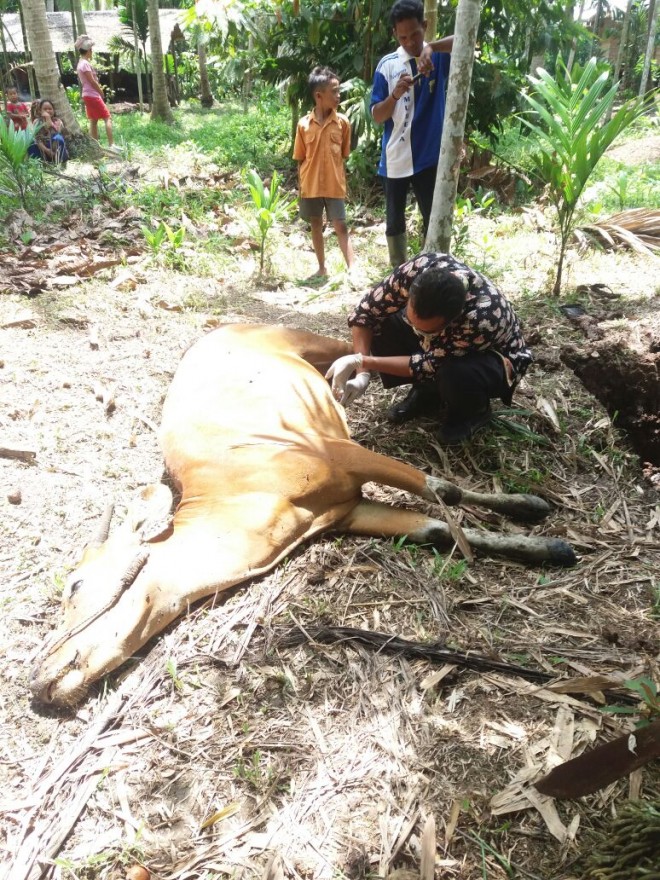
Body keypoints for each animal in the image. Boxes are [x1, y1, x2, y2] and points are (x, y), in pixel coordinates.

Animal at [29, 324, 572, 708]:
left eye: (75, 584)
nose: (38, 678)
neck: (244, 501)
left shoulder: (338, 453)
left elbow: (445, 490)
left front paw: (530, 506)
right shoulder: (347, 510)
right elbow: (436, 528)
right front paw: (549, 547)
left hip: (304, 339)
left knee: (378, 351)